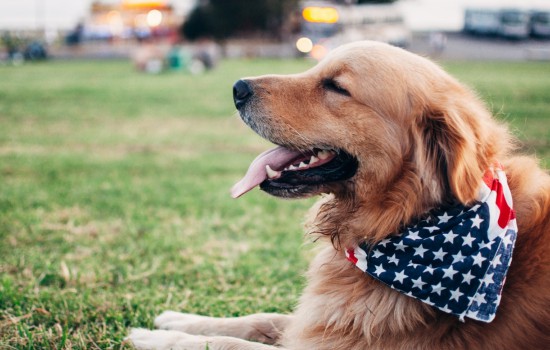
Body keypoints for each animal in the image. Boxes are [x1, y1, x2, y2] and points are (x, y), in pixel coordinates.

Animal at [130, 40, 550, 348]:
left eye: (336, 87)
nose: (237, 88)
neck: (402, 219)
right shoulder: (320, 321)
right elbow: (257, 320)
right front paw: (176, 318)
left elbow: (228, 344)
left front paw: (152, 337)